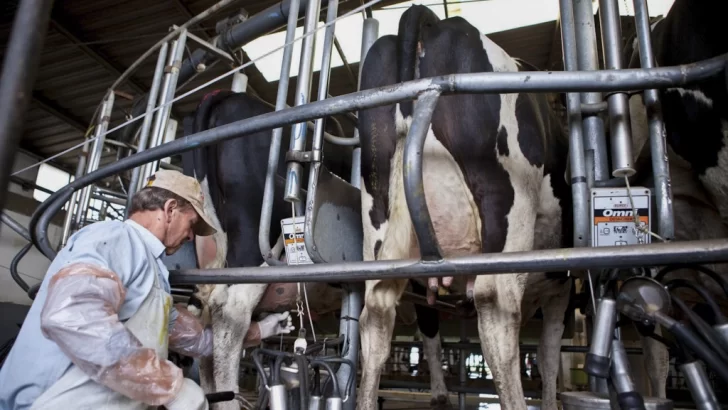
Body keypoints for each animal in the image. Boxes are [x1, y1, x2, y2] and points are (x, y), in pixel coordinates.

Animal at [358, 4, 576, 408]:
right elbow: (549, 354)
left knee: (377, 313)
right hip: (506, 204)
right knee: (497, 312)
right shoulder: (562, 286)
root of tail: (428, 19)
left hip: (377, 215)